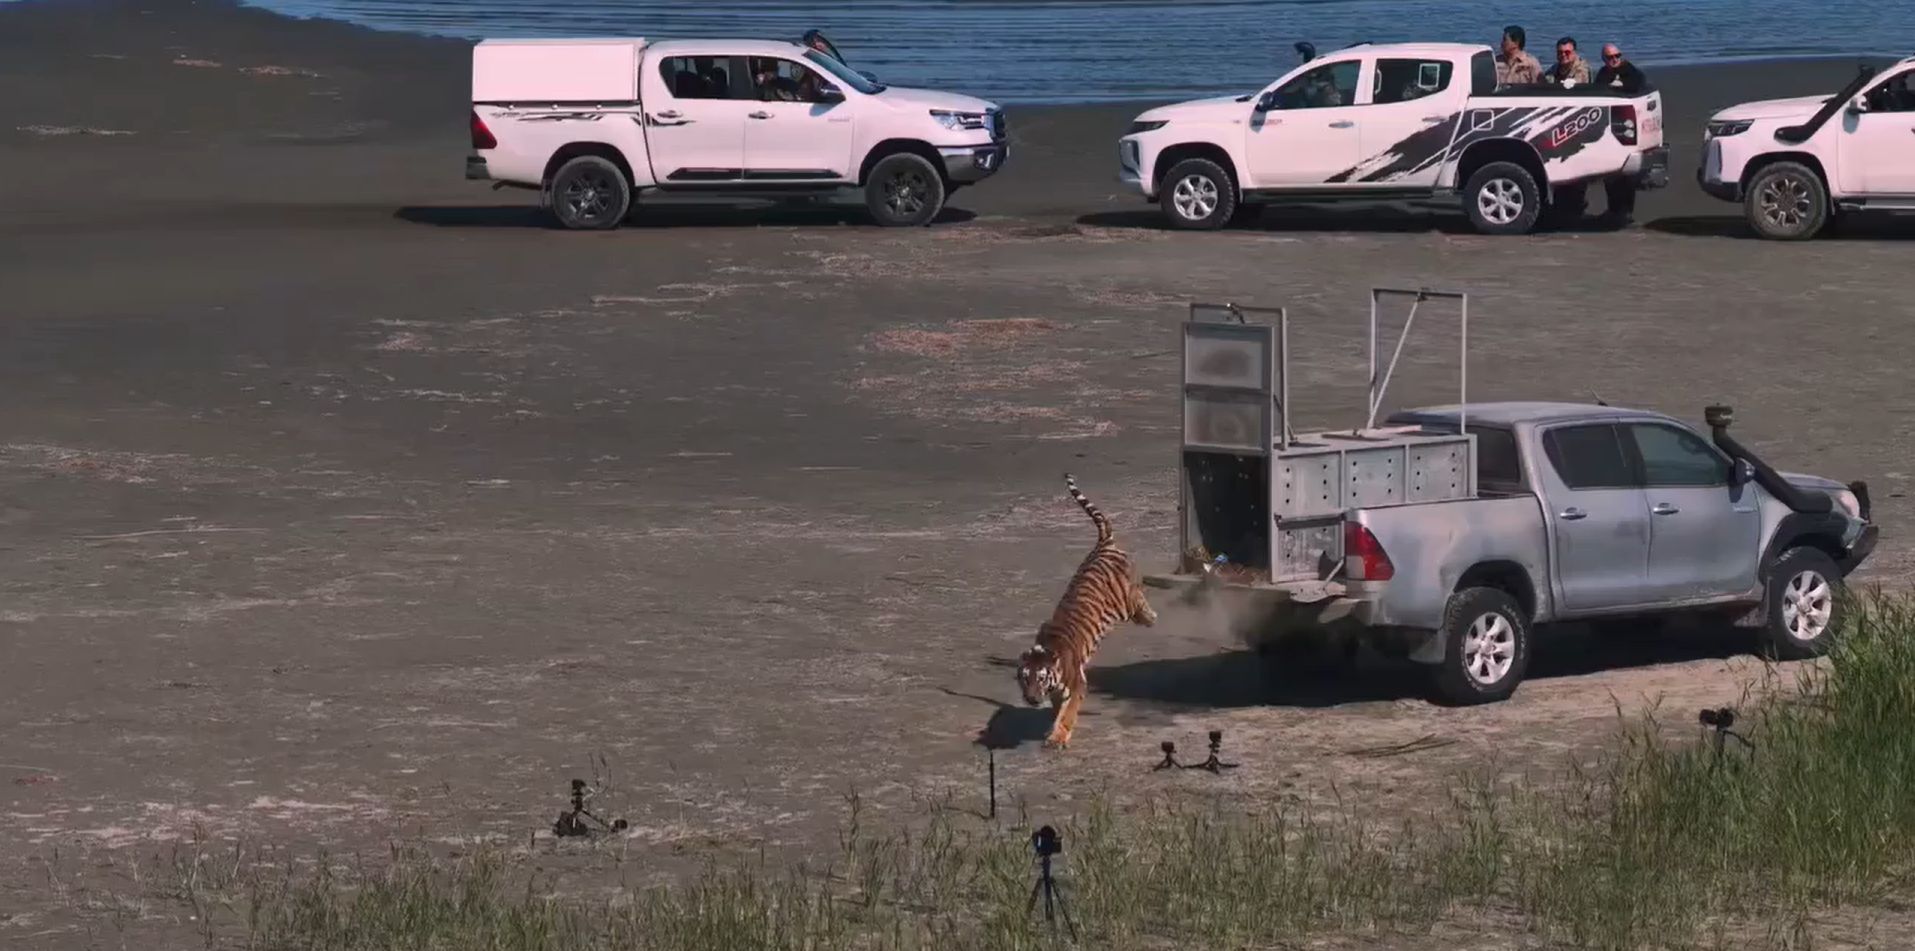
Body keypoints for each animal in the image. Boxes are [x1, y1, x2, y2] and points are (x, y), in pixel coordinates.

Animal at [1015, 473, 1158, 749]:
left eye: (1041, 678)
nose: (1032, 699)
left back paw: (1149, 617)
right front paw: (1053, 729)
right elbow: (1058, 711)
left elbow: (1068, 713)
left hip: (1124, 601)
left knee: (1137, 599)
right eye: (1025, 678)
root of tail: (1104, 542)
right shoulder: (1058, 692)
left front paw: (1058, 737)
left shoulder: (1077, 686)